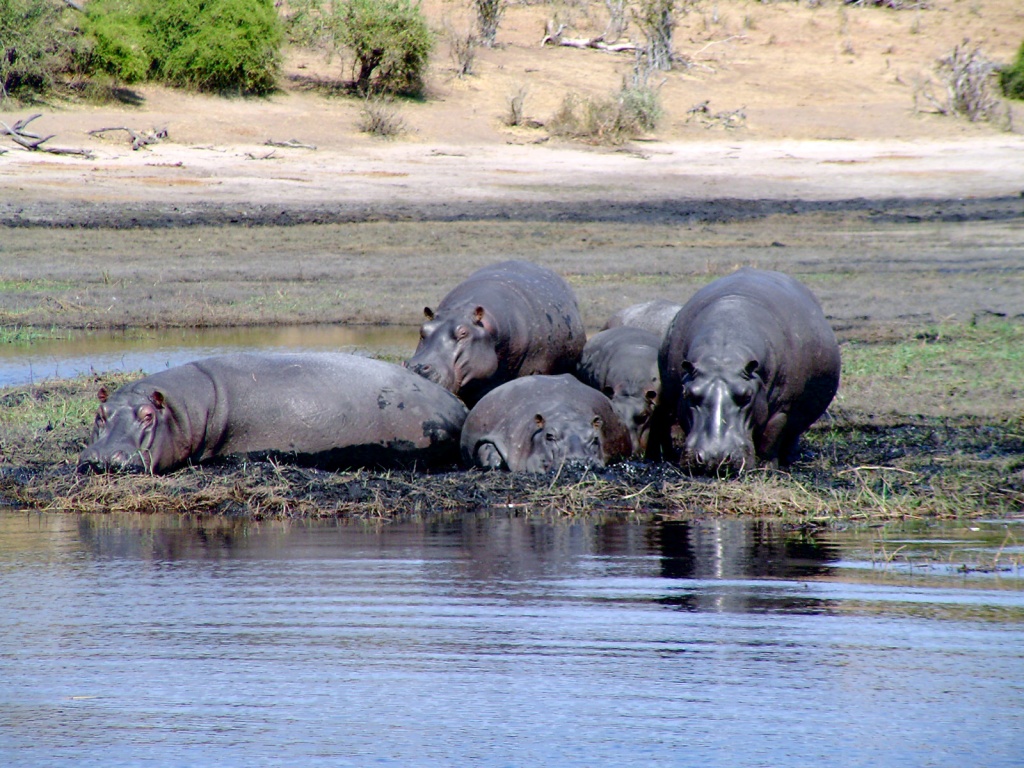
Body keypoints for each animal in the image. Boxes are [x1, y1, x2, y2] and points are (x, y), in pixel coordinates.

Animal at [655, 268, 839, 475]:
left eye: (746, 396)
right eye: (689, 394)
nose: (714, 458)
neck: (723, 355)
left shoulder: (782, 408)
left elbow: (770, 437)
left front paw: (766, 468)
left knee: (790, 436)